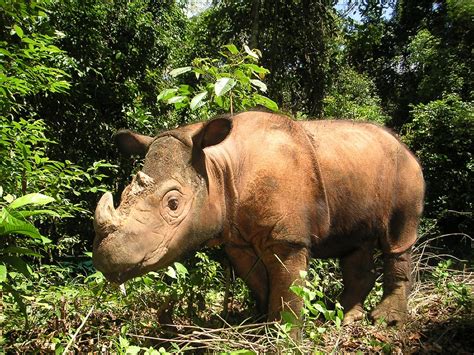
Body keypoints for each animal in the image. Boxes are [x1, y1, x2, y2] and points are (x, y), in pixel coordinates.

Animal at [91, 112, 422, 326]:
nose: (107, 259)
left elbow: (288, 290)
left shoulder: (289, 238)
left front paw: (284, 336)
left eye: (173, 204)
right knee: (356, 244)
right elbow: (261, 282)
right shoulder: (237, 237)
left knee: (397, 238)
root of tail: (405, 145)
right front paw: (259, 324)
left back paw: (386, 322)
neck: (217, 165)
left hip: (405, 170)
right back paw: (346, 318)